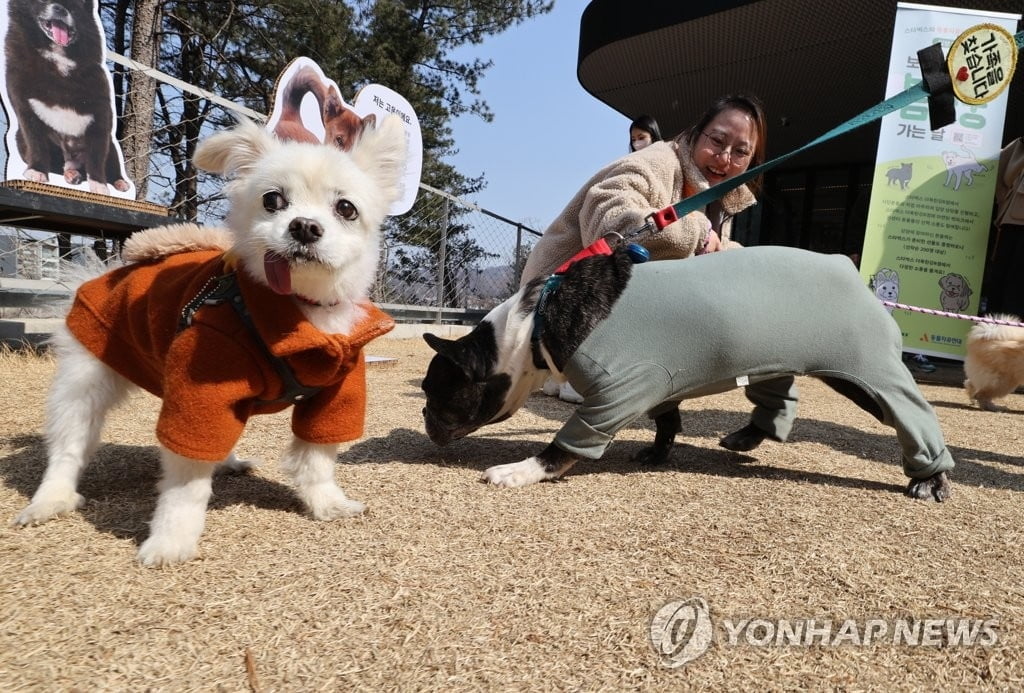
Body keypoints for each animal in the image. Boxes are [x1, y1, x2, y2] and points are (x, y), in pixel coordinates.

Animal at [14, 116, 407, 565]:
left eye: (346, 208)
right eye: (273, 200)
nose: (304, 226)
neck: (299, 312)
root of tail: (104, 273)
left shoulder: (336, 393)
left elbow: (317, 459)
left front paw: (327, 504)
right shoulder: (199, 392)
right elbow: (185, 485)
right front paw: (170, 541)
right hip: (86, 381)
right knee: (69, 443)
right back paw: (51, 500)